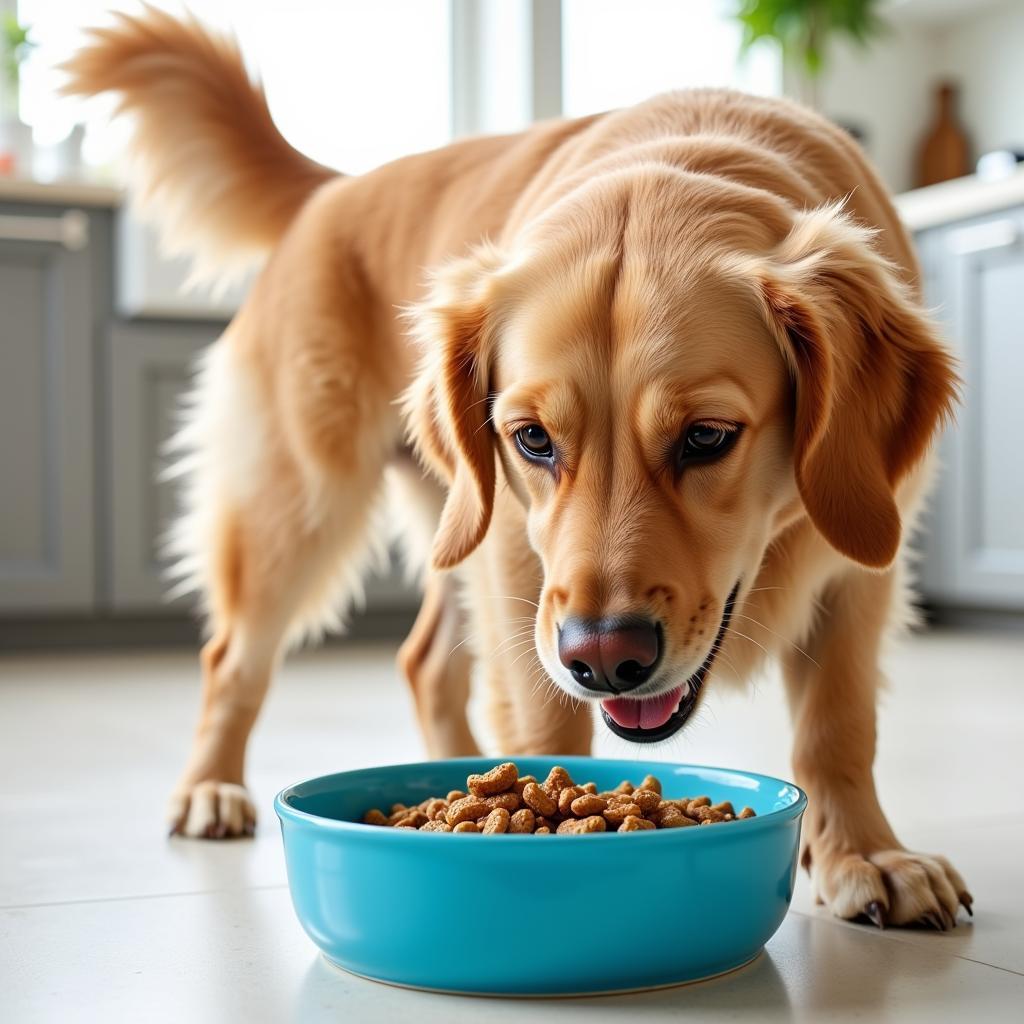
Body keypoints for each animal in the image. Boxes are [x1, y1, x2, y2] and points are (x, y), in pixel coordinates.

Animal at [66, 6, 966, 929]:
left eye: (709, 437)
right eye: (533, 439)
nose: (603, 661)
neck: (693, 157)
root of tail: (335, 188)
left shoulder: (861, 559)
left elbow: (838, 726)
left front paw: (867, 853)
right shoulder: (521, 570)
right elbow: (548, 721)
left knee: (424, 664)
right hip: (311, 502)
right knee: (232, 660)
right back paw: (211, 786)